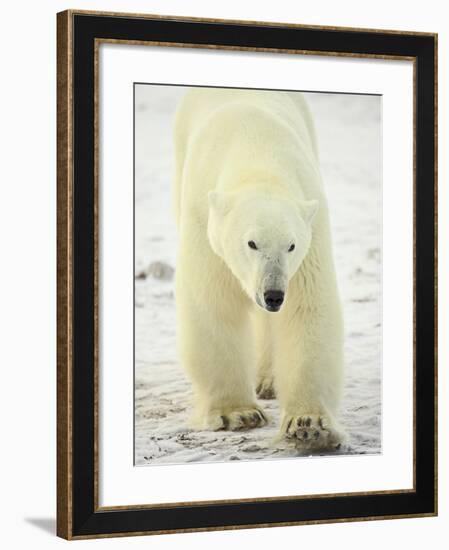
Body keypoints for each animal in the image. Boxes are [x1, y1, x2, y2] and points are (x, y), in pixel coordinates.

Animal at [172, 88, 344, 450]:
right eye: (251, 243)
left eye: (291, 245)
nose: (274, 294)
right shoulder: (203, 221)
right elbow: (213, 304)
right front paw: (237, 413)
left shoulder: (311, 229)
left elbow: (307, 307)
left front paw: (308, 424)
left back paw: (268, 380)